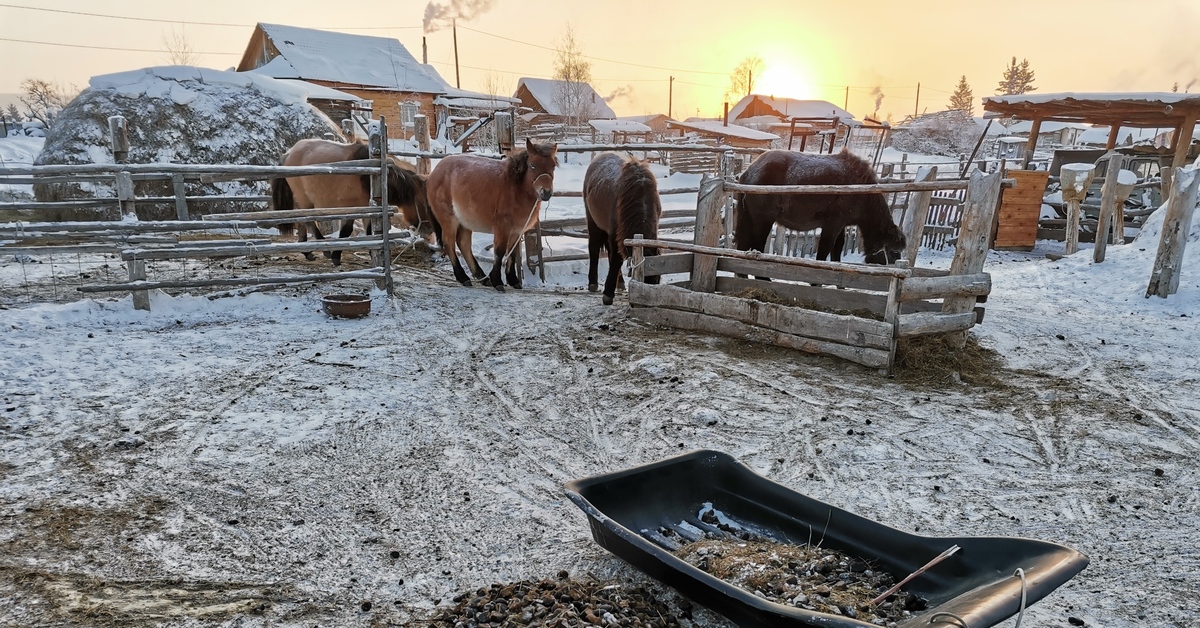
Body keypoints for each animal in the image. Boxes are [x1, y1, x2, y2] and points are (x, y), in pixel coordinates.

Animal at [270, 137, 429, 265]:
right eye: (424, 203)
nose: (428, 228)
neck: (372, 177)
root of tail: (287, 154)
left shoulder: (369, 210)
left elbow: (370, 232)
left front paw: (374, 253)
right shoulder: (351, 207)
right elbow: (346, 231)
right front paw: (336, 256)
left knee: (302, 221)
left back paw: (307, 252)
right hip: (305, 199)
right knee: (308, 220)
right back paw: (324, 248)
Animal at [427, 138, 556, 291]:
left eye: (553, 167)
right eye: (533, 165)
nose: (546, 192)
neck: (515, 189)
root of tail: (434, 172)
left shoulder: (516, 231)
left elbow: (512, 252)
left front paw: (513, 280)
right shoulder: (502, 228)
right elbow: (499, 252)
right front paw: (497, 280)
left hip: (465, 221)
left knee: (464, 244)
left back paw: (481, 277)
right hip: (449, 219)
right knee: (449, 243)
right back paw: (463, 277)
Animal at [583, 154, 667, 307]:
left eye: (656, 280)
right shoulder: (616, 232)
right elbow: (616, 259)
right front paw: (608, 294)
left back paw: (620, 283)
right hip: (593, 221)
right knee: (594, 247)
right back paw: (593, 283)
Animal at [729, 151, 907, 266]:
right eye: (894, 252)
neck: (861, 189)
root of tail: (748, 172)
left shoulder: (840, 225)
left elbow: (837, 251)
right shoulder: (833, 225)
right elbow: (824, 251)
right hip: (763, 221)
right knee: (756, 249)